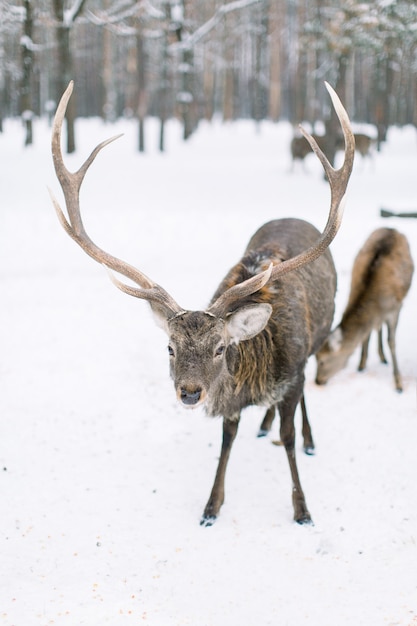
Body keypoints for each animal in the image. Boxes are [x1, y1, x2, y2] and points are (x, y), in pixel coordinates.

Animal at [49, 80, 354, 524]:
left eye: (220, 348)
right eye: (170, 347)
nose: (190, 393)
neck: (257, 371)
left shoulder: (294, 372)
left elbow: (289, 435)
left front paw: (302, 509)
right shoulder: (230, 402)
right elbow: (227, 438)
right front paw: (212, 506)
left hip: (317, 340)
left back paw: (303, 436)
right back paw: (262, 423)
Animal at [316, 227, 412, 392]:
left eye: (321, 360)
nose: (317, 381)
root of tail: (392, 228)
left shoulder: (396, 308)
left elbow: (391, 342)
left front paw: (398, 383)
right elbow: (367, 334)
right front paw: (361, 364)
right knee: (377, 326)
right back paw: (381, 355)